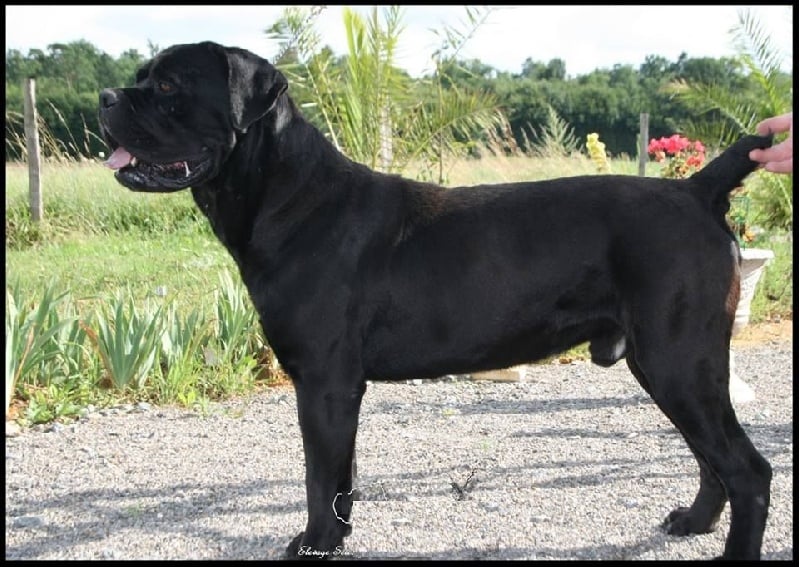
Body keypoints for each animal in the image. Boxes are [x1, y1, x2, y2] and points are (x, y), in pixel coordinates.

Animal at [98, 41, 775, 560]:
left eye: (167, 85)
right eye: (141, 77)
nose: (105, 97)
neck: (286, 198)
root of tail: (695, 190)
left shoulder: (324, 381)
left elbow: (320, 477)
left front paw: (315, 542)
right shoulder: (332, 387)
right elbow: (340, 478)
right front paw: (336, 537)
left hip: (677, 361)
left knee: (747, 470)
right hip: (668, 366)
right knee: (713, 460)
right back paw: (693, 521)